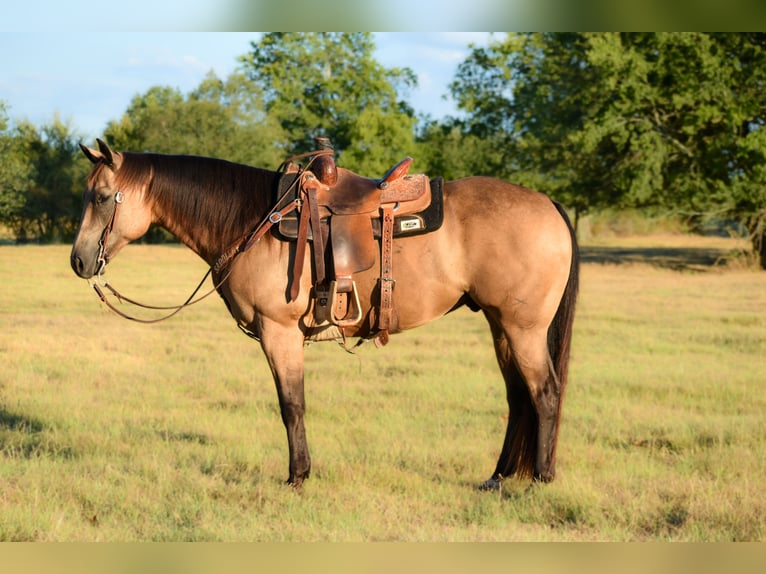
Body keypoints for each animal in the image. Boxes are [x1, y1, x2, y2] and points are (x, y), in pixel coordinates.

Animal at [70, 139, 579, 489]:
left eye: (102, 197)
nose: (78, 260)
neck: (254, 221)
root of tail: (550, 205)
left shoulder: (279, 333)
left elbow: (291, 405)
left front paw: (297, 476)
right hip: (500, 326)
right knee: (519, 396)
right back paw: (498, 477)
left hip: (523, 329)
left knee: (545, 393)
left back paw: (541, 478)